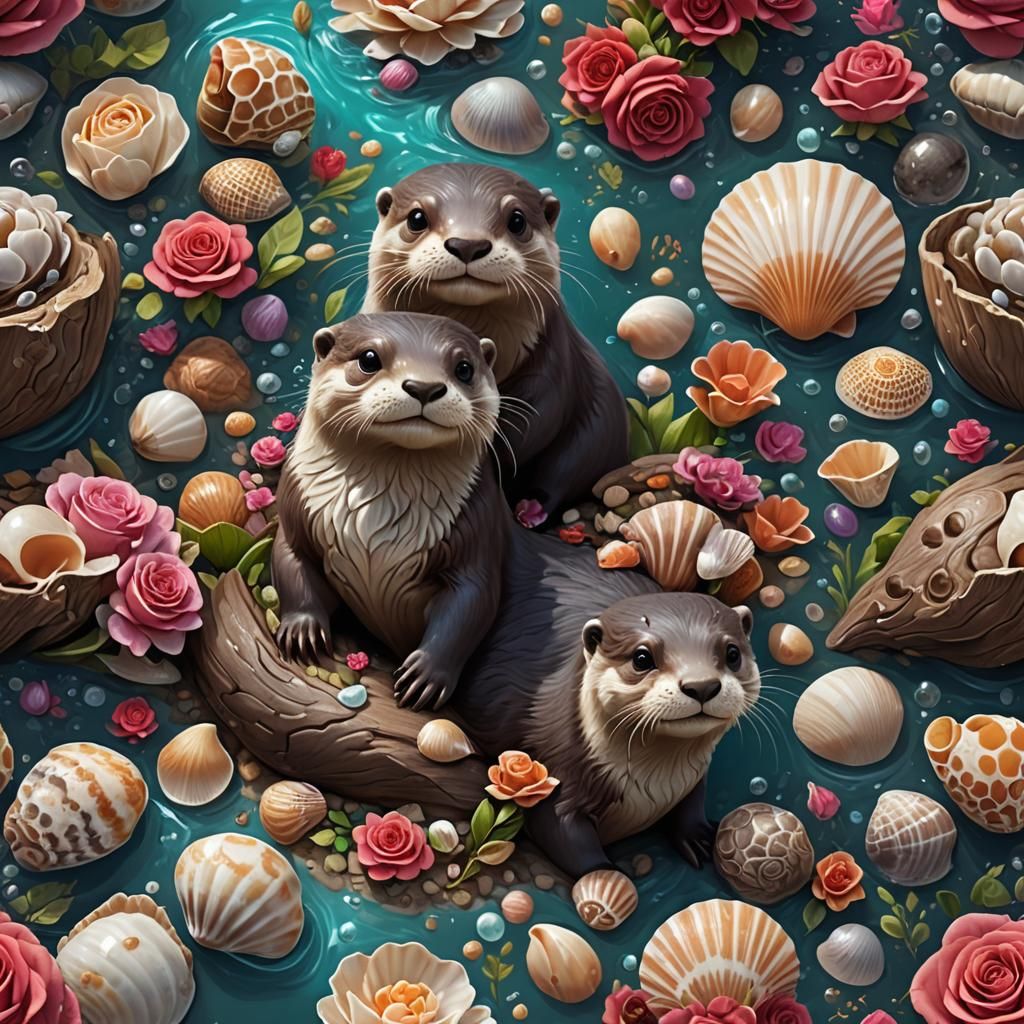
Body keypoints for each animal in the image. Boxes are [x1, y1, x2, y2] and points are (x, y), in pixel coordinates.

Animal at [362, 162, 628, 522]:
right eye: (416, 218)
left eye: (517, 220)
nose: (467, 244)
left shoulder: (550, 365)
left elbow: (535, 421)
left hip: (598, 430)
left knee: (566, 468)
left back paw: (532, 507)